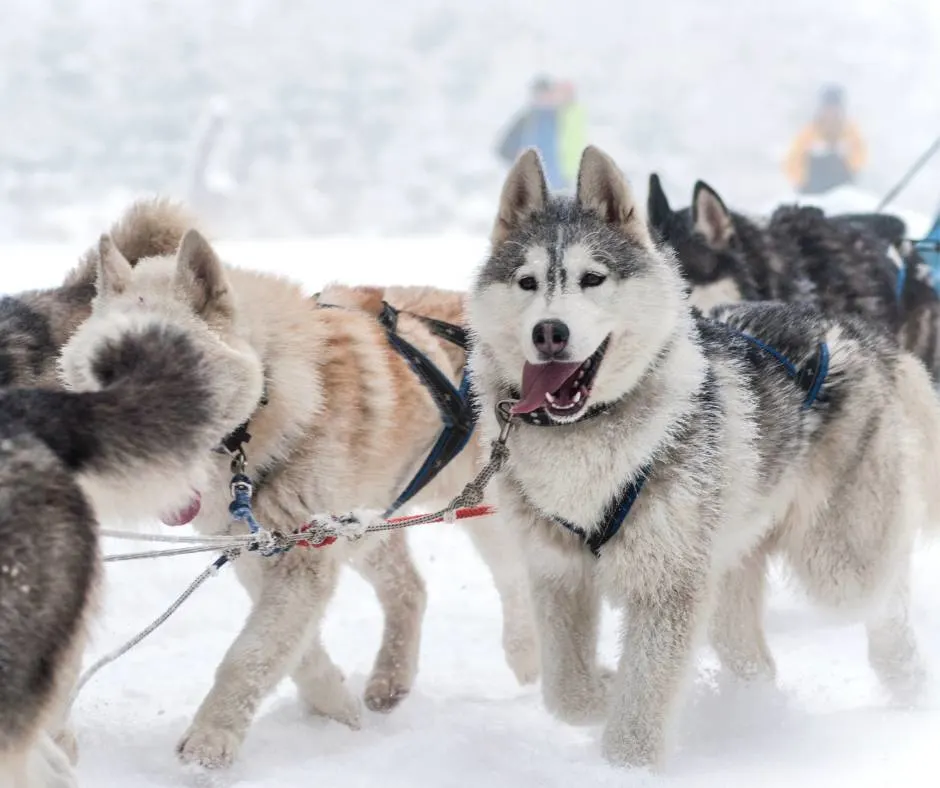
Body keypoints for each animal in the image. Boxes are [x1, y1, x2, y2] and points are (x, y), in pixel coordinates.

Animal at [79, 234, 536, 768]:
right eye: (99, 375)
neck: (266, 404)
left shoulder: (301, 558)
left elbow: (250, 654)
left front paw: (210, 740)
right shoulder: (264, 551)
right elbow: (295, 650)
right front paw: (334, 707)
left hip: (478, 508)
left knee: (515, 578)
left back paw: (526, 657)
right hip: (364, 523)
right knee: (410, 588)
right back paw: (390, 679)